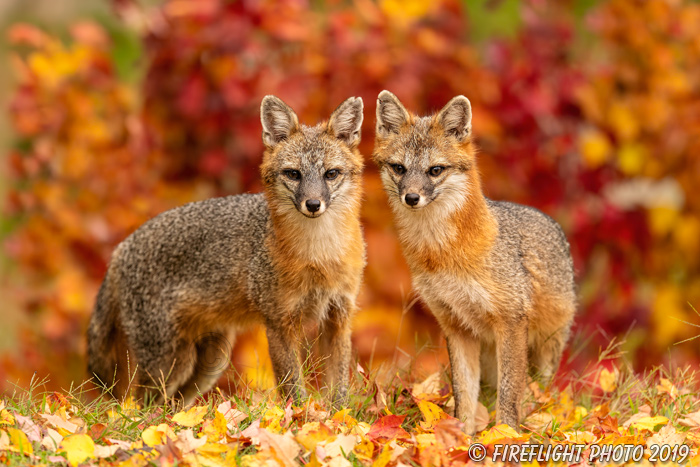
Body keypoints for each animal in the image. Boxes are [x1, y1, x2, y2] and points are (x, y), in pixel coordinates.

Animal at [87, 94, 366, 406]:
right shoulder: (278, 323)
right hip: (169, 362)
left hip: (210, 363)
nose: (314, 204)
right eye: (293, 174)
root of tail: (121, 248)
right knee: (139, 404)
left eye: (331, 174)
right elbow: (293, 388)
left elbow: (339, 388)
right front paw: (302, 417)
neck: (319, 254)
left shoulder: (338, 317)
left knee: (172, 406)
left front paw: (337, 417)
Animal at [372, 89, 576, 434]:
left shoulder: (510, 321)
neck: (442, 255)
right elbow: (464, 392)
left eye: (435, 170)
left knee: (536, 393)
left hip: (545, 349)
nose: (411, 198)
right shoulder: (455, 326)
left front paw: (505, 435)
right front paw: (460, 435)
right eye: (399, 168)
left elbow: (509, 394)